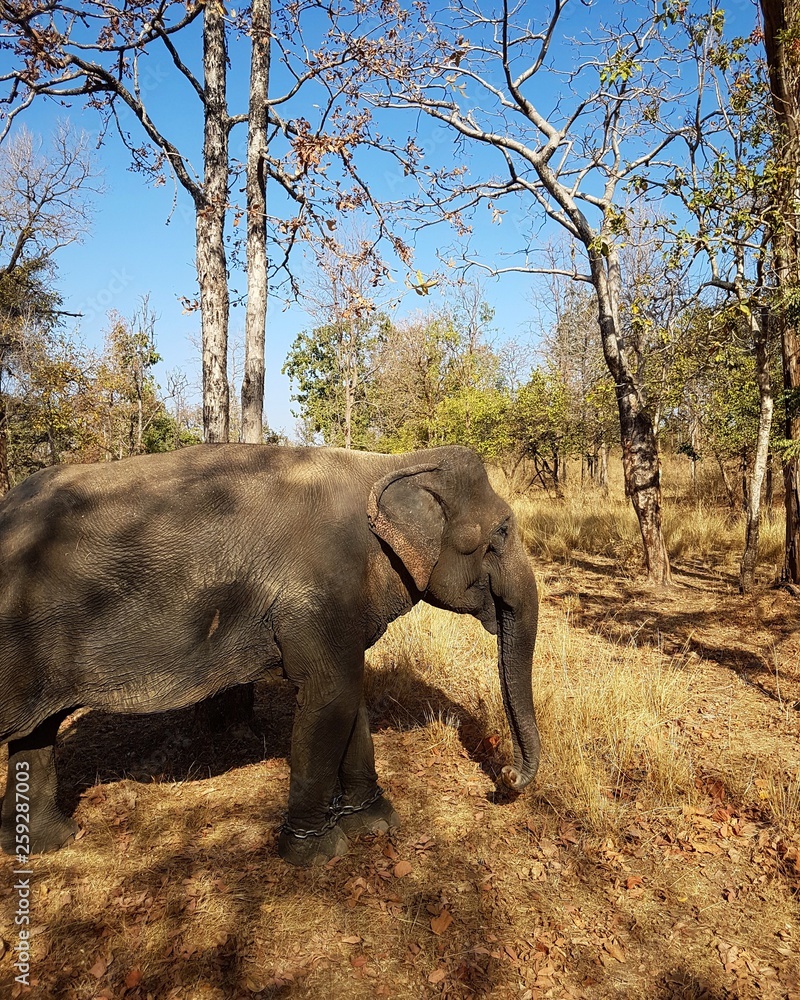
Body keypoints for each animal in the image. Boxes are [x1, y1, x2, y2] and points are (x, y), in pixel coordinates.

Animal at [0, 443, 540, 866]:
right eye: (501, 533)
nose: (504, 779)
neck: (389, 463)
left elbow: (348, 695)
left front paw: (377, 824)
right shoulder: (316, 593)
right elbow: (330, 696)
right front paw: (318, 854)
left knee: (35, 733)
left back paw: (46, 843)